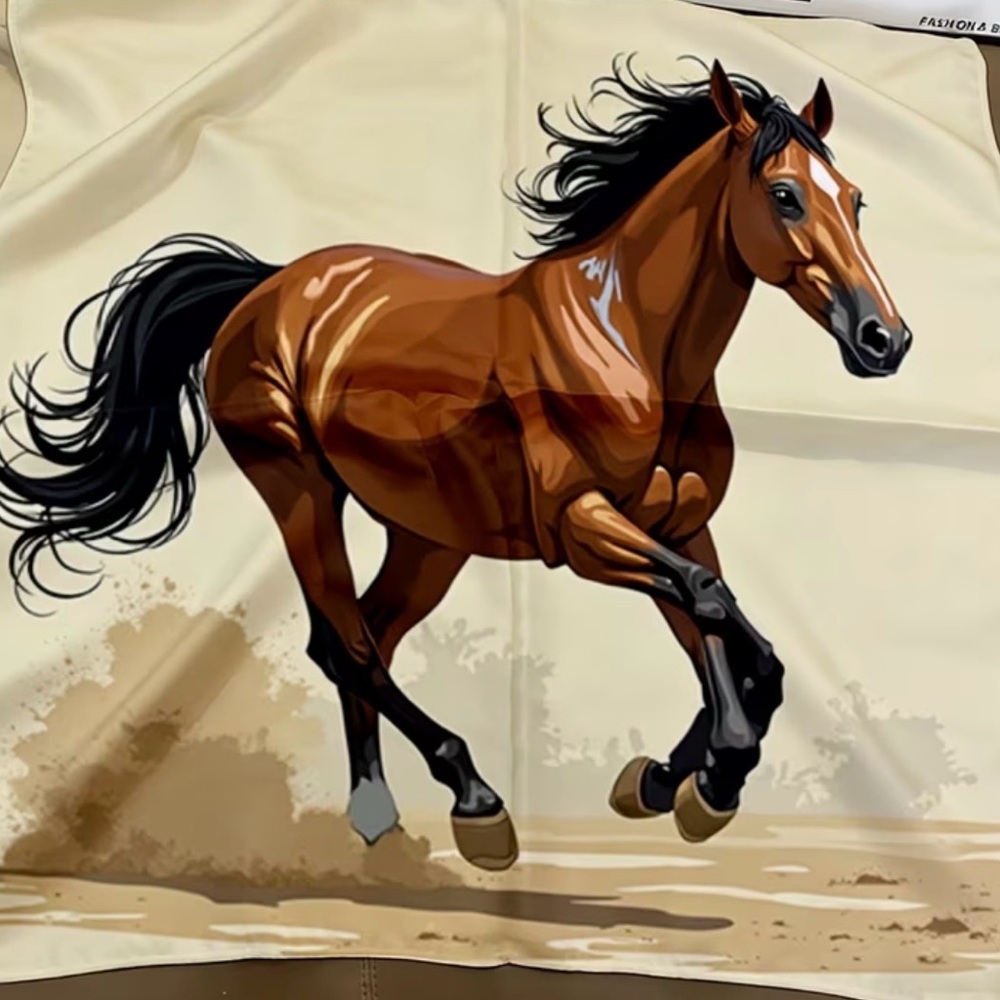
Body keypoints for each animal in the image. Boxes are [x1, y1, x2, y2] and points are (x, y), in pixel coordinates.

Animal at [0, 57, 911, 872]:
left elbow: (720, 635)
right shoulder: (584, 528)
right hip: (299, 490)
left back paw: (377, 809)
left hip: (429, 536)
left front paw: (665, 781)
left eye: (858, 199)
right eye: (785, 195)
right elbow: (718, 611)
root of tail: (268, 285)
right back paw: (473, 801)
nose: (885, 340)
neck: (630, 342)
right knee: (344, 645)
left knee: (370, 634)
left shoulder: (676, 523)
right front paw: (714, 775)